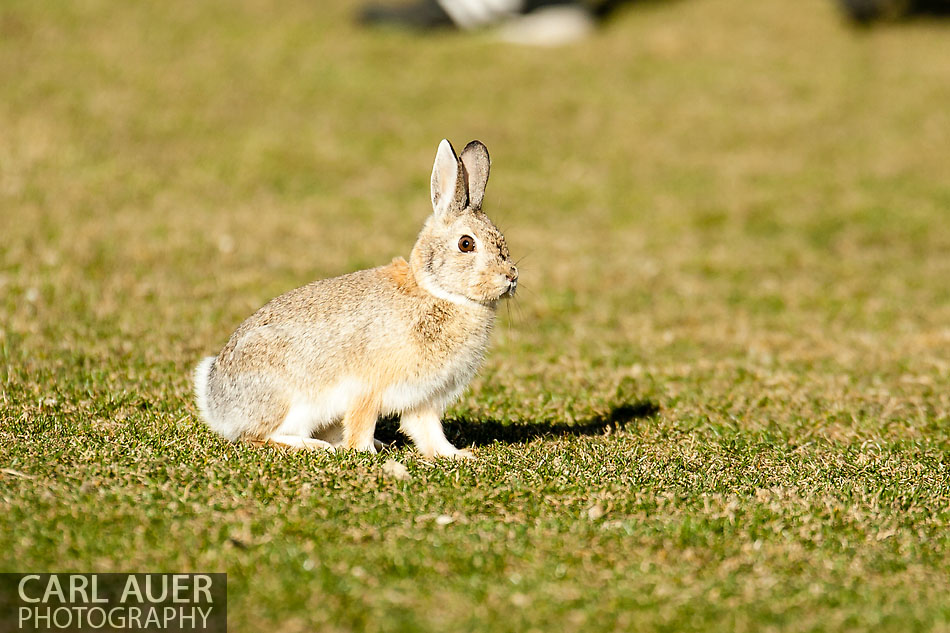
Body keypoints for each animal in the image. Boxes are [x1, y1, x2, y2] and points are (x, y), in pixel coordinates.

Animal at [195, 138, 520, 456]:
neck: (436, 291)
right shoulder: (368, 387)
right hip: (289, 400)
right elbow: (362, 421)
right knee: (259, 436)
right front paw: (364, 452)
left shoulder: (423, 396)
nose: (511, 277)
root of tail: (216, 404)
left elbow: (427, 430)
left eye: (501, 240)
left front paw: (454, 454)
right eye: (466, 244)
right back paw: (316, 446)